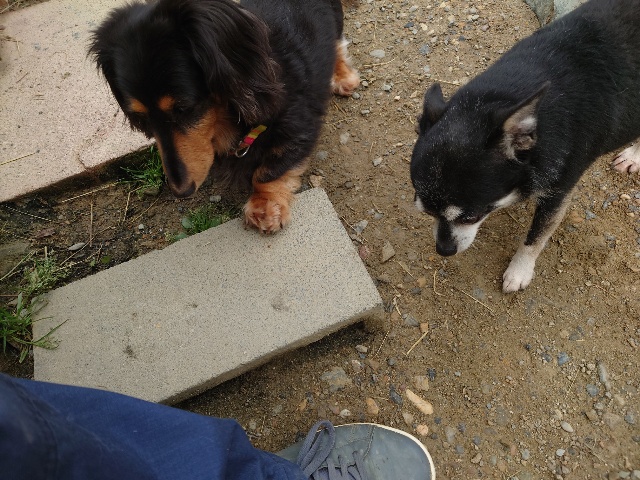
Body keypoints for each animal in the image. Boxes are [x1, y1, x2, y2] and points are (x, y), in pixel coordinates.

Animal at [90, 0, 359, 233]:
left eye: (184, 108)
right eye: (141, 117)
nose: (181, 191)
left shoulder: (300, 126)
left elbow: (270, 169)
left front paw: (265, 205)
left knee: (336, 45)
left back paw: (342, 77)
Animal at [410, 0, 640, 293]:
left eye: (470, 217)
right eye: (426, 212)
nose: (444, 250)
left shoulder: (558, 192)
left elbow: (536, 237)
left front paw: (520, 270)